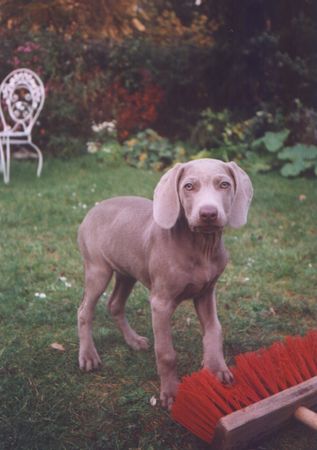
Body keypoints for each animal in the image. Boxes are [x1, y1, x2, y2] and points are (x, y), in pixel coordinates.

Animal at [78, 160, 253, 410]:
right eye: (188, 186)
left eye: (224, 184)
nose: (208, 214)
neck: (201, 246)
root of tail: (95, 207)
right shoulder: (160, 303)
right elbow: (166, 353)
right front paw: (171, 393)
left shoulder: (206, 293)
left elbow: (214, 330)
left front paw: (216, 368)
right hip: (97, 270)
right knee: (85, 310)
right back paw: (88, 356)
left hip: (127, 272)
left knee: (115, 304)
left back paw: (133, 341)